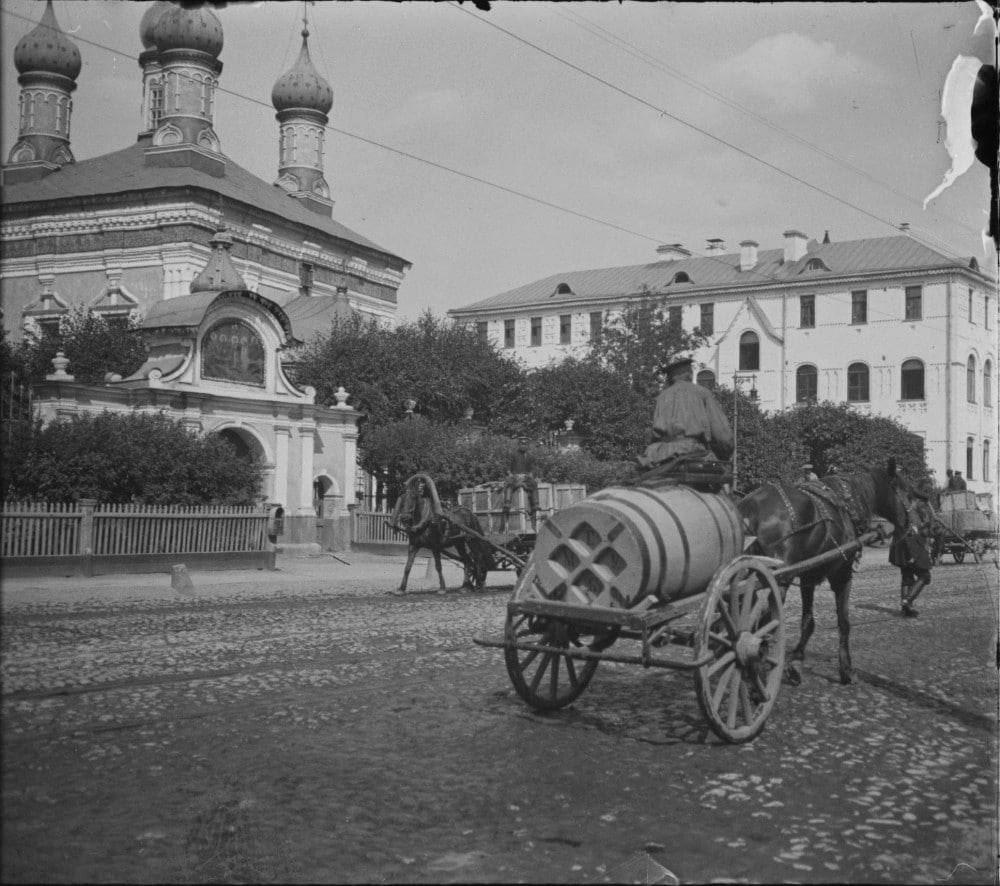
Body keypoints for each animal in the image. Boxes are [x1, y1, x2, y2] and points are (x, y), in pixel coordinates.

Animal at [740, 462, 916, 692]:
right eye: (906, 492)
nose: (911, 524)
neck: (848, 503)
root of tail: (750, 508)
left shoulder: (808, 577)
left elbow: (808, 622)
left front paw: (796, 661)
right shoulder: (842, 575)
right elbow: (844, 622)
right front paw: (846, 670)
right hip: (777, 580)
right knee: (764, 623)